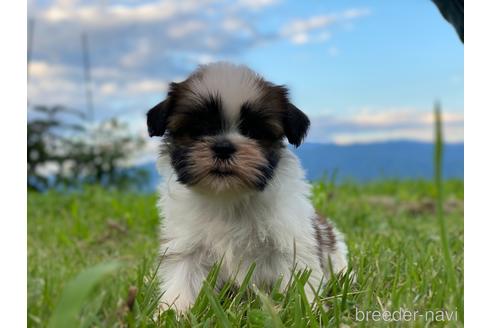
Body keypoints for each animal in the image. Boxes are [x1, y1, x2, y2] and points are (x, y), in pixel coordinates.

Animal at [148, 62, 348, 312]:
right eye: (198, 131)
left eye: (254, 132)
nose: (223, 147)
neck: (228, 197)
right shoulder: (187, 247)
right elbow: (182, 280)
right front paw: (174, 312)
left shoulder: (290, 243)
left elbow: (298, 279)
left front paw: (307, 310)